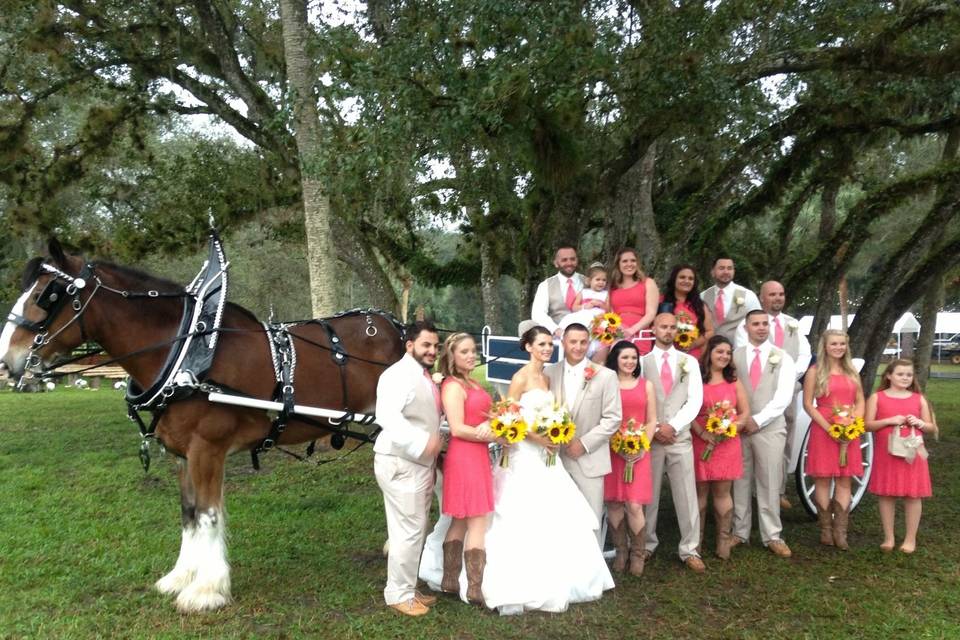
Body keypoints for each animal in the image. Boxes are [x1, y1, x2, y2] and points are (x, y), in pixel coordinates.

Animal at [0, 240, 404, 608]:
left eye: (47, 295)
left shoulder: (207, 449)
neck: (187, 356)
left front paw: (208, 590)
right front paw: (181, 577)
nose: (7, 360)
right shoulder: (182, 454)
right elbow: (189, 514)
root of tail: (399, 327)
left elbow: (208, 514)